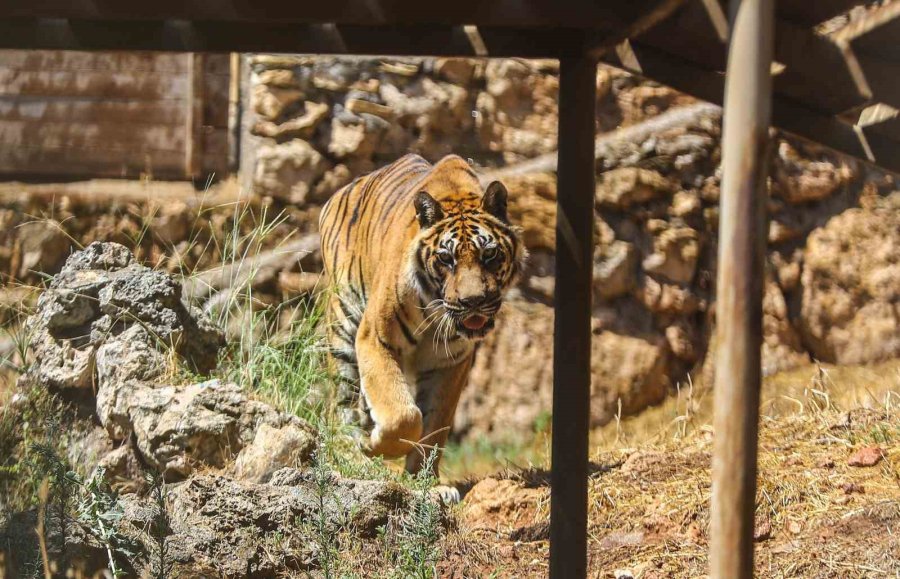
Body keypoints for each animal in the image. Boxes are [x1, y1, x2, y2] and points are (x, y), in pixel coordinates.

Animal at [318, 153, 524, 476]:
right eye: (446, 258)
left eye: (489, 254)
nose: (473, 301)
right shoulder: (375, 338)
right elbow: (402, 415)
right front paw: (376, 446)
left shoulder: (451, 361)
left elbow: (434, 424)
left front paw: (423, 479)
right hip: (343, 327)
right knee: (341, 402)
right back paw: (351, 450)